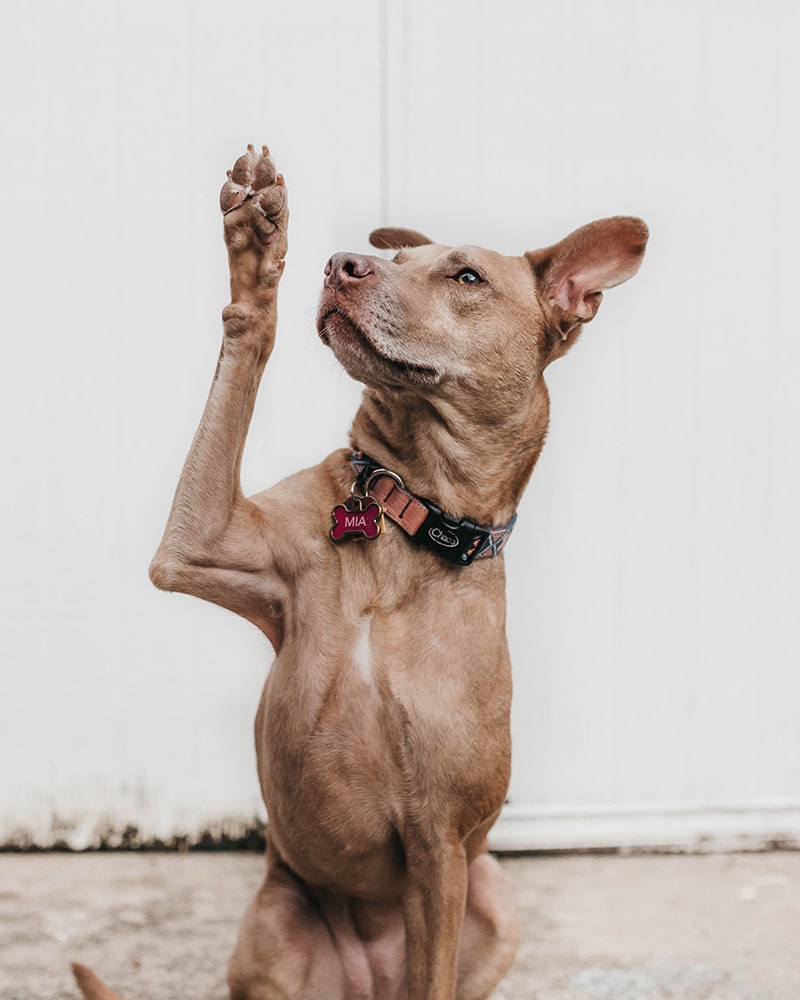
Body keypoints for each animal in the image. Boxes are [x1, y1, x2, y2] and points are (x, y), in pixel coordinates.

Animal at [72, 143, 648, 1000]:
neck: (405, 519)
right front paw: (256, 252)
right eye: (397, 258)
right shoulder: (195, 542)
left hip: (492, 897)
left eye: (465, 276)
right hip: (275, 925)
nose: (343, 263)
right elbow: (245, 344)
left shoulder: (439, 845)